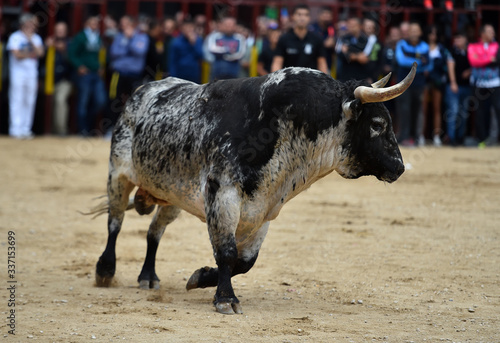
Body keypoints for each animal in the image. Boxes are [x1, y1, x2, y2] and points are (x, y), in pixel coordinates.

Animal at [92, 61, 416, 314]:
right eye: (377, 124)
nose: (399, 167)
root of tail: (142, 92)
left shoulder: (265, 210)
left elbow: (244, 261)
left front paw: (200, 277)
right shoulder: (222, 195)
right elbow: (226, 252)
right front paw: (225, 299)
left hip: (172, 196)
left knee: (153, 232)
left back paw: (148, 276)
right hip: (117, 174)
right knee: (115, 222)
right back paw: (105, 271)